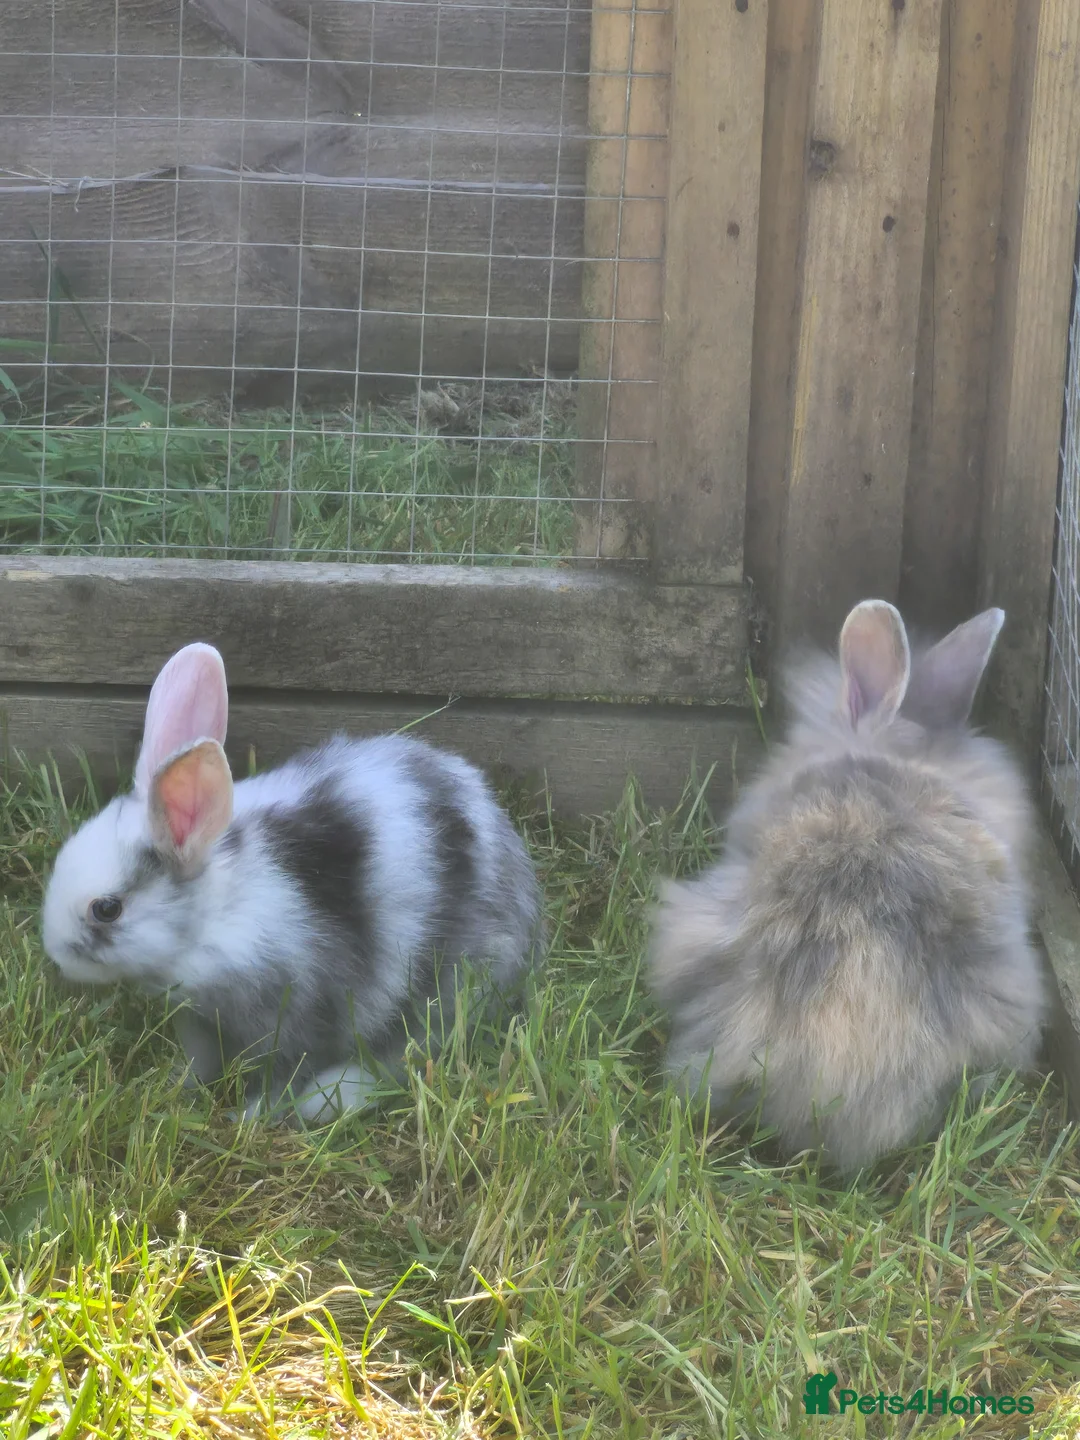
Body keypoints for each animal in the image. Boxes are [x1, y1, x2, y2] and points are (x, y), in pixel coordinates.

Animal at [42, 642, 546, 1124]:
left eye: (107, 908)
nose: (57, 957)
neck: (213, 920)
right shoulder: (197, 1020)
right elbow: (198, 1062)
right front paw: (177, 1087)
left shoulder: (294, 1022)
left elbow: (279, 1077)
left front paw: (245, 1119)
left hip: (447, 994)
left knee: (406, 1057)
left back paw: (329, 1098)